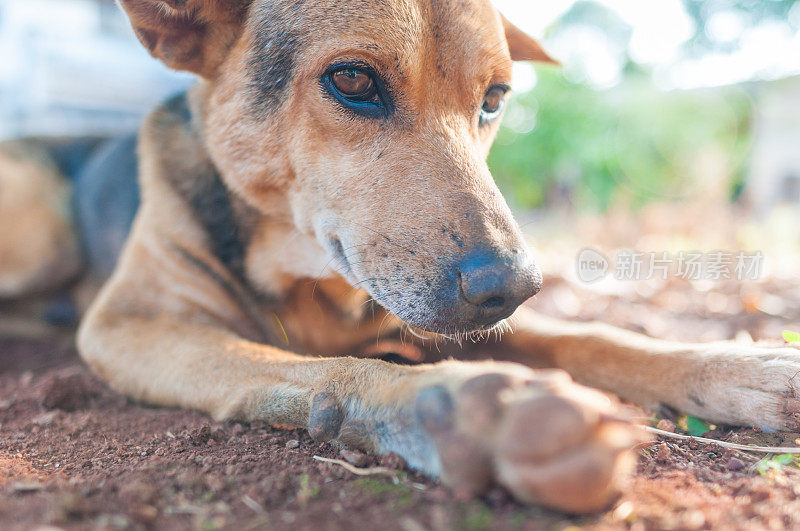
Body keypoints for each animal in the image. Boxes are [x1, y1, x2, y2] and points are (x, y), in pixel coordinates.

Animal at [1, 0, 800, 516]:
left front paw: (741, 367)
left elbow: (593, 336)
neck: (306, 280)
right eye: (352, 80)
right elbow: (331, 369)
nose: (515, 287)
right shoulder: (136, 323)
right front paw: (472, 413)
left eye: (495, 98)